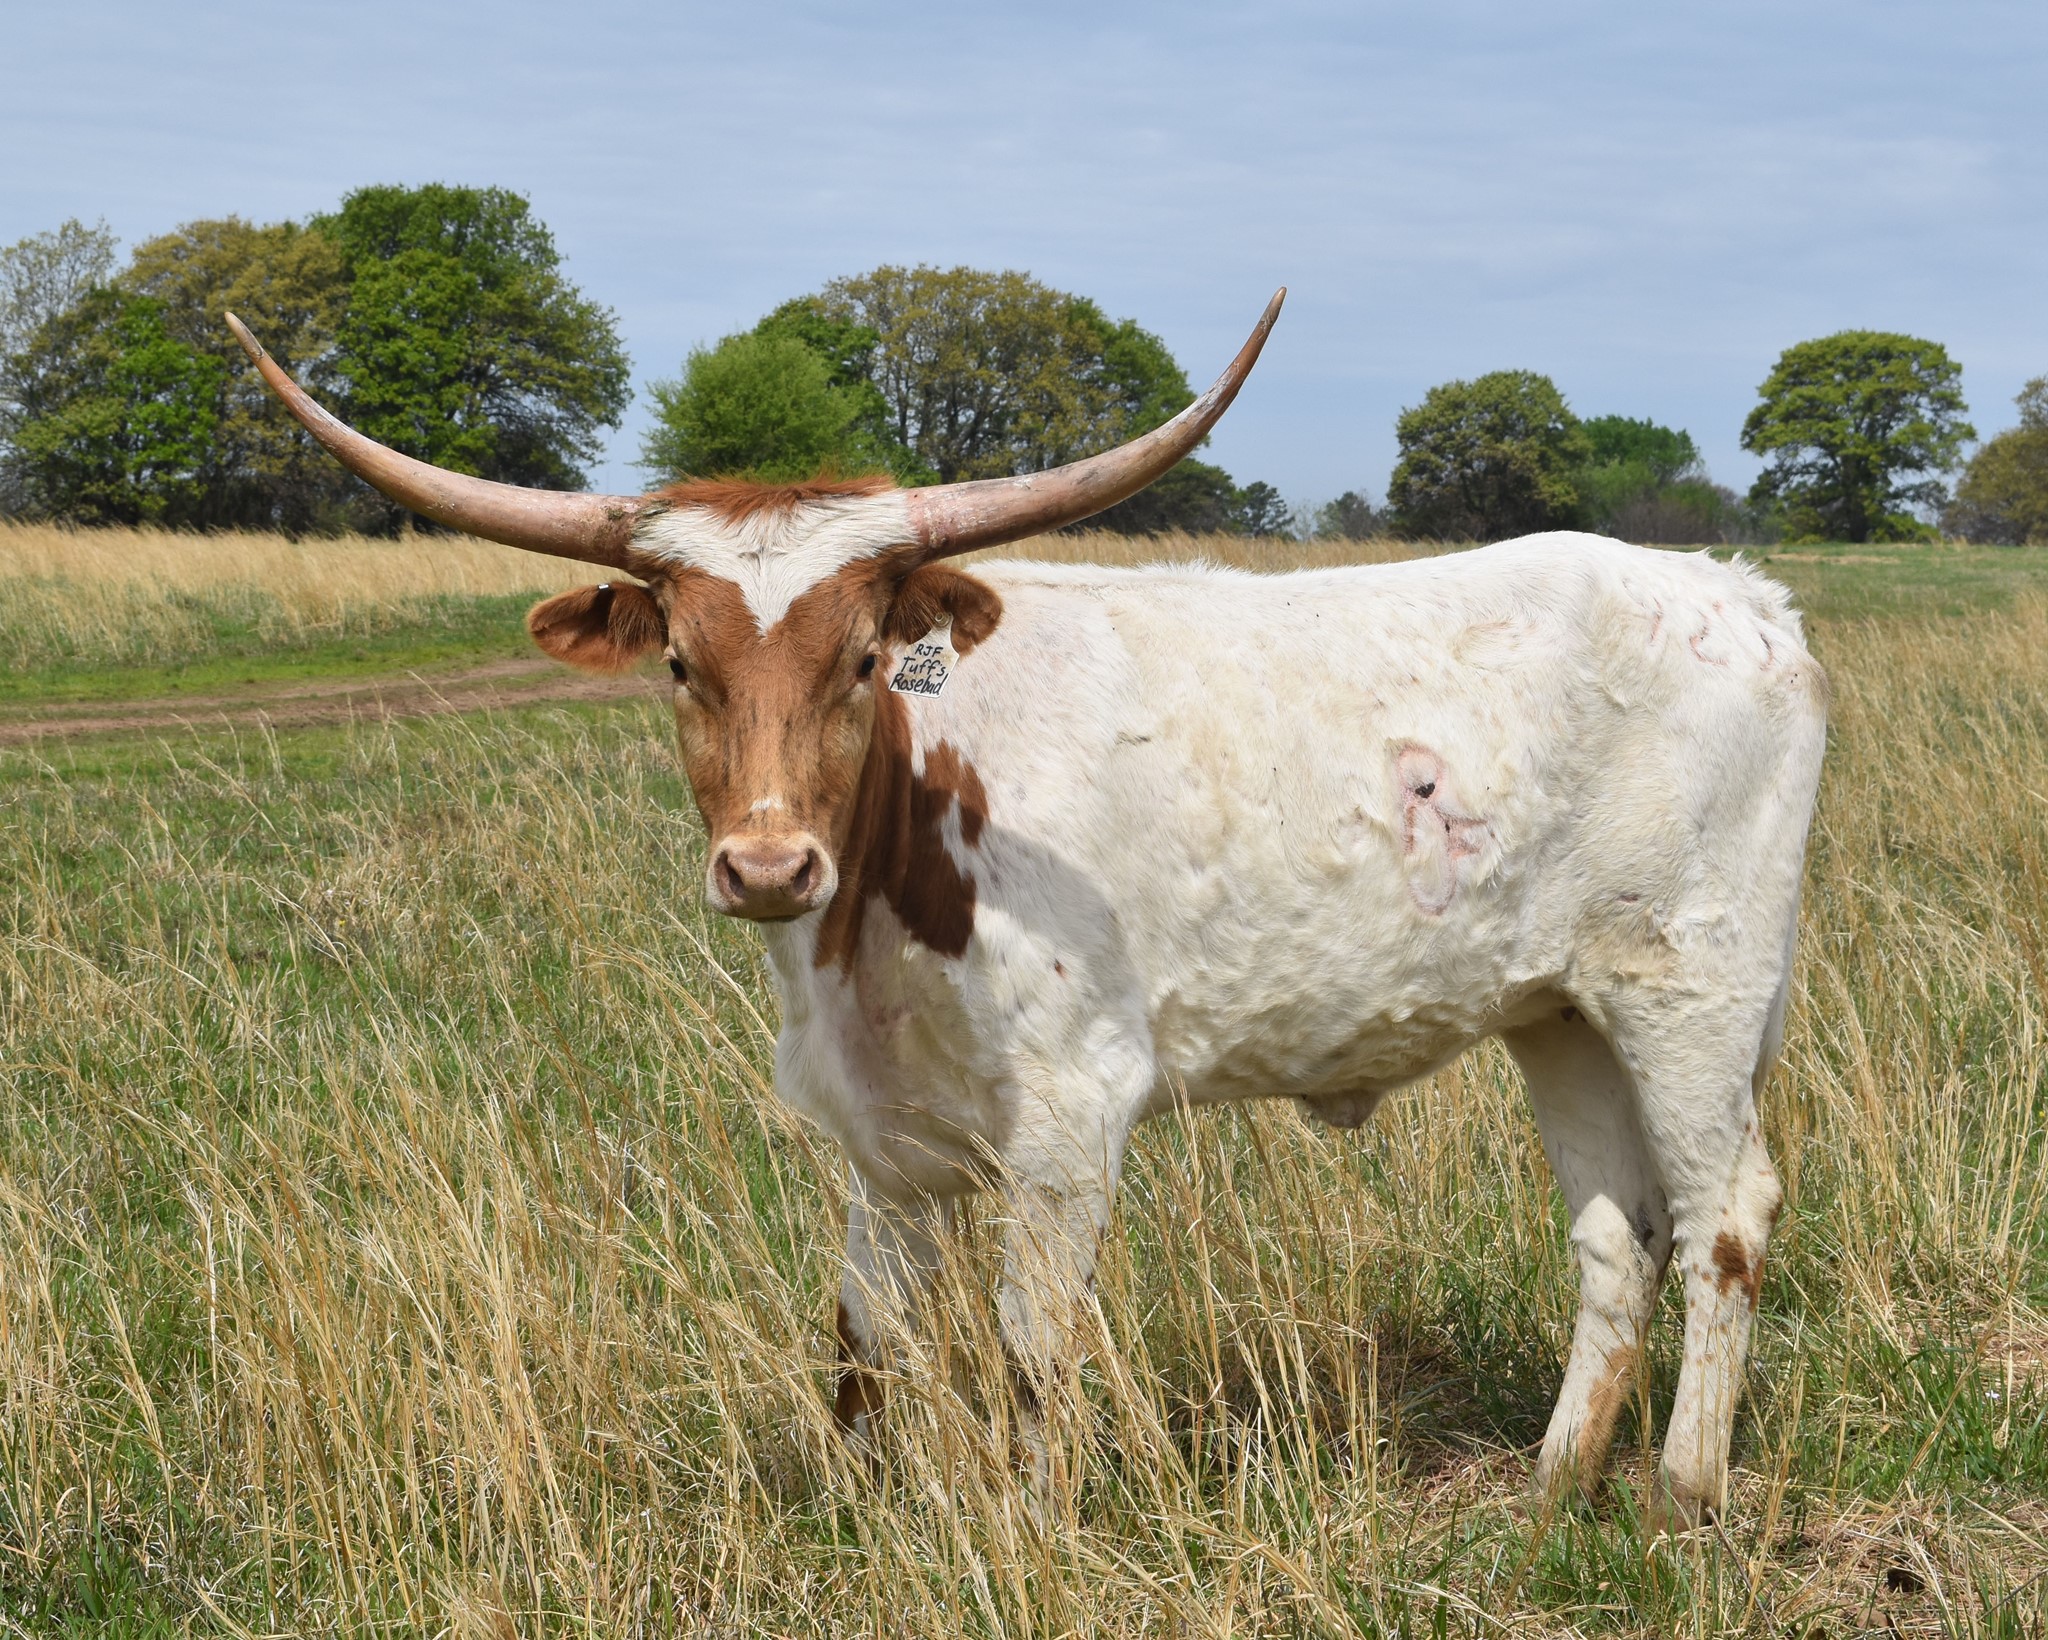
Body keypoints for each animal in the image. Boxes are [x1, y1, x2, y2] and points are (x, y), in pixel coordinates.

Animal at [227, 293, 1826, 1521]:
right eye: (679, 662)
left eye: (865, 657)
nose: (767, 868)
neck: (878, 892)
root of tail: (1734, 594)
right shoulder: (880, 1139)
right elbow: (865, 1338)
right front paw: (865, 1519)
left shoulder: (1070, 1112)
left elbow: (1030, 1342)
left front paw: (1039, 1521)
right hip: (1558, 1008)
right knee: (1619, 1233)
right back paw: (1555, 1485)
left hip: (1692, 988)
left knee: (1724, 1214)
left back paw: (1682, 1494)